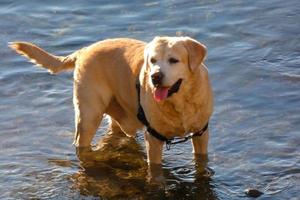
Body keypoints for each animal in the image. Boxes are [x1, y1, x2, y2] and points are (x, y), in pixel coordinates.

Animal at [8, 36, 213, 165]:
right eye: (152, 60)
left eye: (173, 60)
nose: (155, 76)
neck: (179, 103)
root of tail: (83, 51)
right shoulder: (153, 138)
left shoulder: (201, 133)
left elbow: (201, 160)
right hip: (89, 115)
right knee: (81, 141)